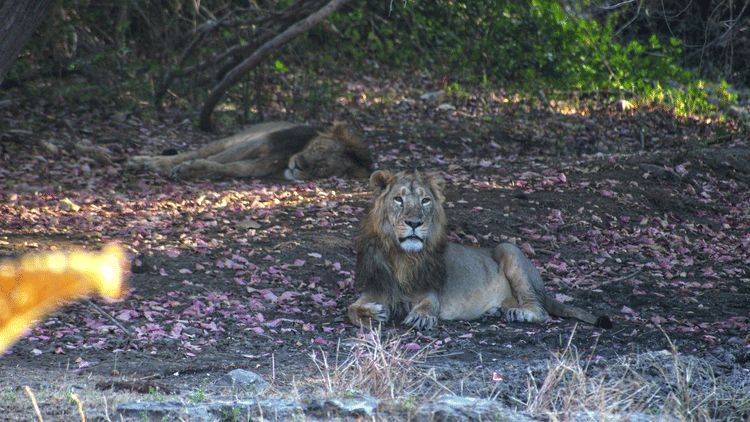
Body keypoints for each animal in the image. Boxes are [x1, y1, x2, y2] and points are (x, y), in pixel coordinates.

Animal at [348, 169, 612, 330]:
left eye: (425, 201)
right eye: (398, 199)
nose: (415, 223)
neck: (401, 257)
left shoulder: (430, 291)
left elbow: (427, 305)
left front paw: (421, 317)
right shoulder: (376, 287)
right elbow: (350, 309)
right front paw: (371, 314)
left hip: (509, 250)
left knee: (540, 310)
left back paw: (519, 313)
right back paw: (494, 311)